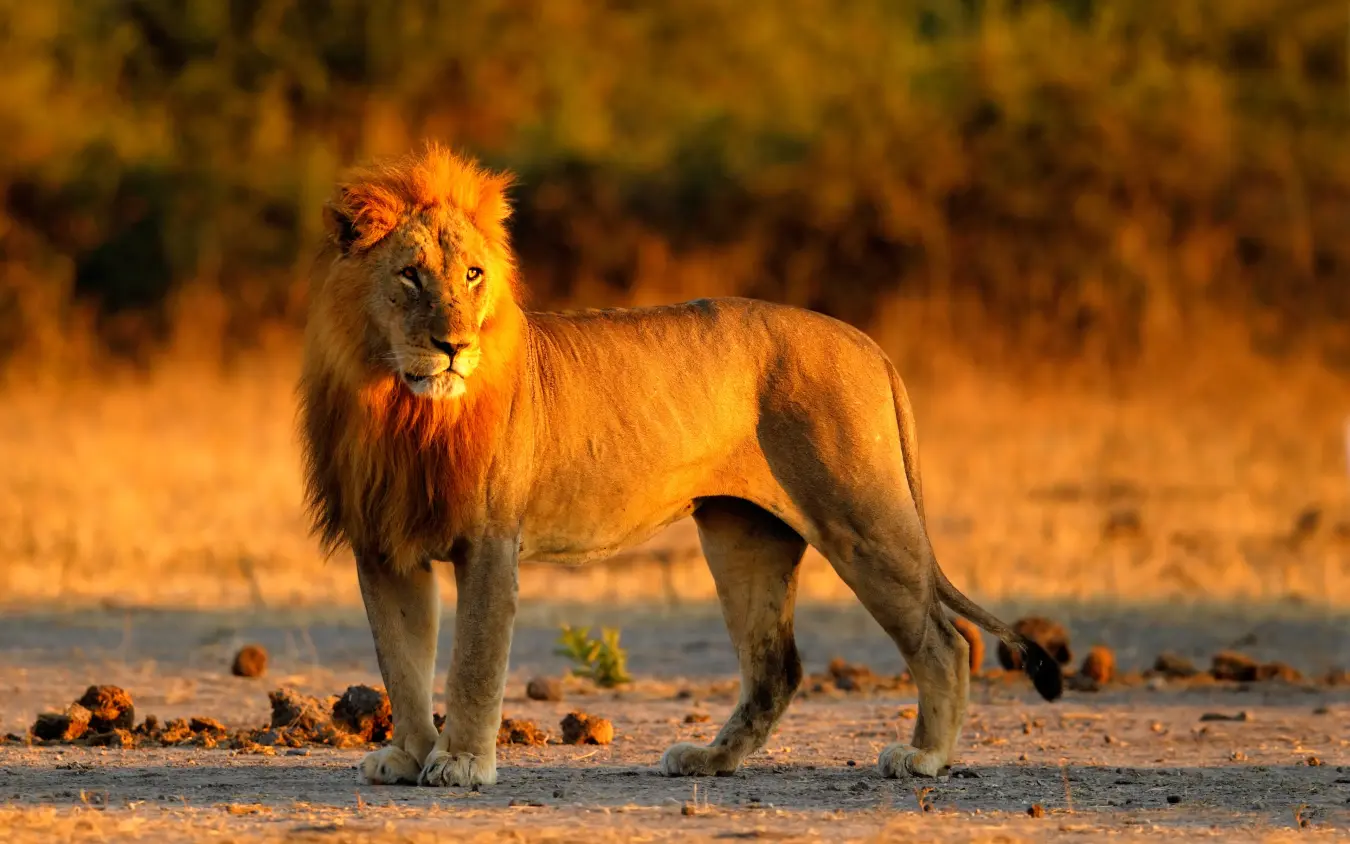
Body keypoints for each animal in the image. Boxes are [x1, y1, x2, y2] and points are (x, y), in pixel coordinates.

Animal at [299, 143, 1062, 789]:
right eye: (409, 275)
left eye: (473, 275)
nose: (453, 345)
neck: (400, 406)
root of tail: (867, 343)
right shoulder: (384, 544)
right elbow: (402, 661)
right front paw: (407, 758)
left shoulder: (488, 541)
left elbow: (473, 664)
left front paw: (459, 763)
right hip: (743, 538)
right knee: (777, 667)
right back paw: (710, 760)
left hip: (862, 518)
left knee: (945, 640)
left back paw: (924, 756)